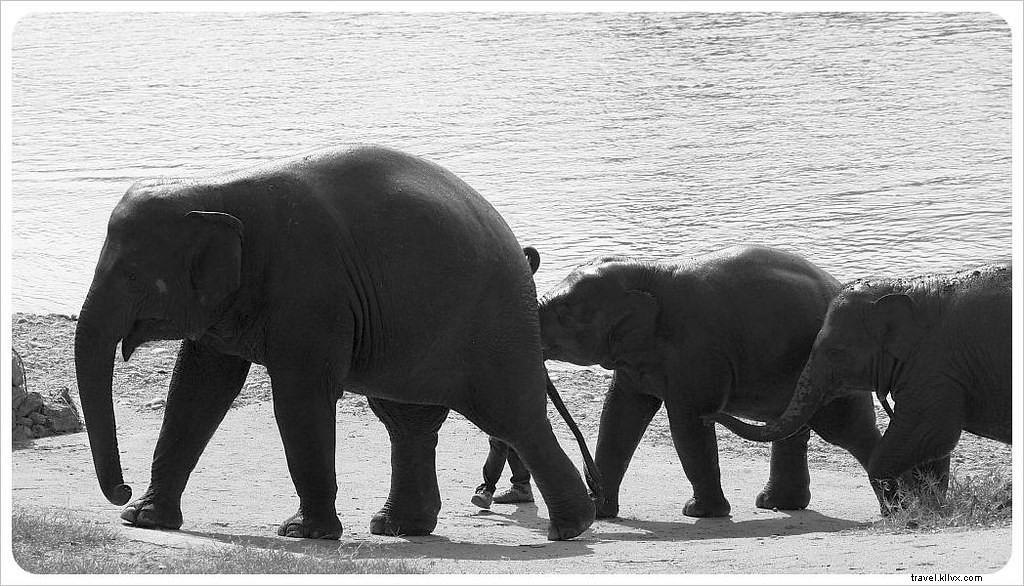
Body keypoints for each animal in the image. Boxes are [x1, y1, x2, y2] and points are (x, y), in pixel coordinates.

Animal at [74, 145, 596, 541]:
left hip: (496, 324)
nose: (120, 490)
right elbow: (196, 390)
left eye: (133, 275)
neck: (216, 188)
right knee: (407, 421)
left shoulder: (311, 291)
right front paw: (143, 519)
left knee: (512, 419)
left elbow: (298, 397)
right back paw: (398, 527)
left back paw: (569, 529)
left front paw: (302, 534)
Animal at [537, 245, 883, 519]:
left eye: (563, 310)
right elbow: (619, 416)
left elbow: (688, 422)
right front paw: (601, 512)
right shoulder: (634, 360)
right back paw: (777, 505)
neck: (648, 270)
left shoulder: (697, 353)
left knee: (848, 431)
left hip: (835, 370)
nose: (593, 488)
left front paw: (699, 512)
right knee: (791, 429)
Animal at [707, 265, 1012, 511]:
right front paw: (921, 506)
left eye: (835, 352)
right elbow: (933, 442)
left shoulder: (935, 366)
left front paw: (909, 510)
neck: (906, 287)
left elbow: (931, 432)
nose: (706, 416)